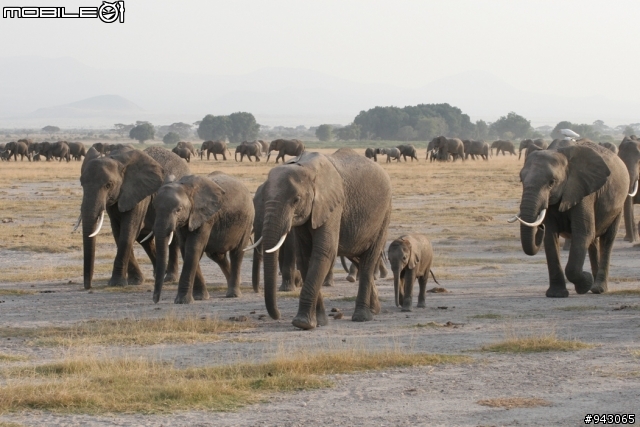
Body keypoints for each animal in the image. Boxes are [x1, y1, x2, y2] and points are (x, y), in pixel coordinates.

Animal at [79, 147, 190, 290]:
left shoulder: (139, 194)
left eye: (108, 185)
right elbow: (118, 233)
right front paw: (135, 281)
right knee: (144, 240)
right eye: (82, 184)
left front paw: (117, 283)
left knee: (173, 238)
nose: (88, 286)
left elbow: (128, 232)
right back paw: (159, 274)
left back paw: (169, 278)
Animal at [151, 171, 254, 304]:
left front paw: (182, 301)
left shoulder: (205, 217)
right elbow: (185, 249)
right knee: (217, 255)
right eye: (154, 208)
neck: (185, 186)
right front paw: (200, 297)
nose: (155, 300)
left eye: (178, 210)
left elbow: (193, 248)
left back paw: (233, 294)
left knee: (237, 253)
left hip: (247, 222)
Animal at [258, 150, 390, 332]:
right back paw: (374, 309)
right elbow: (304, 256)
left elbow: (324, 252)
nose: (277, 315)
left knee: (369, 260)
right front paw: (319, 322)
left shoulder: (332, 204)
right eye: (263, 198)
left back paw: (362, 317)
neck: (306, 167)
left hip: (384, 215)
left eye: (296, 200)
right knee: (359, 259)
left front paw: (302, 323)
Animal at [510, 142, 632, 296]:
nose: (540, 227)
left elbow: (583, 233)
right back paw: (593, 285)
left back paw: (598, 288)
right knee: (593, 241)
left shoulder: (583, 191)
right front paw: (557, 294)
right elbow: (550, 237)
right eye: (521, 180)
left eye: (551, 182)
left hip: (618, 205)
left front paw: (585, 283)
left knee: (607, 240)